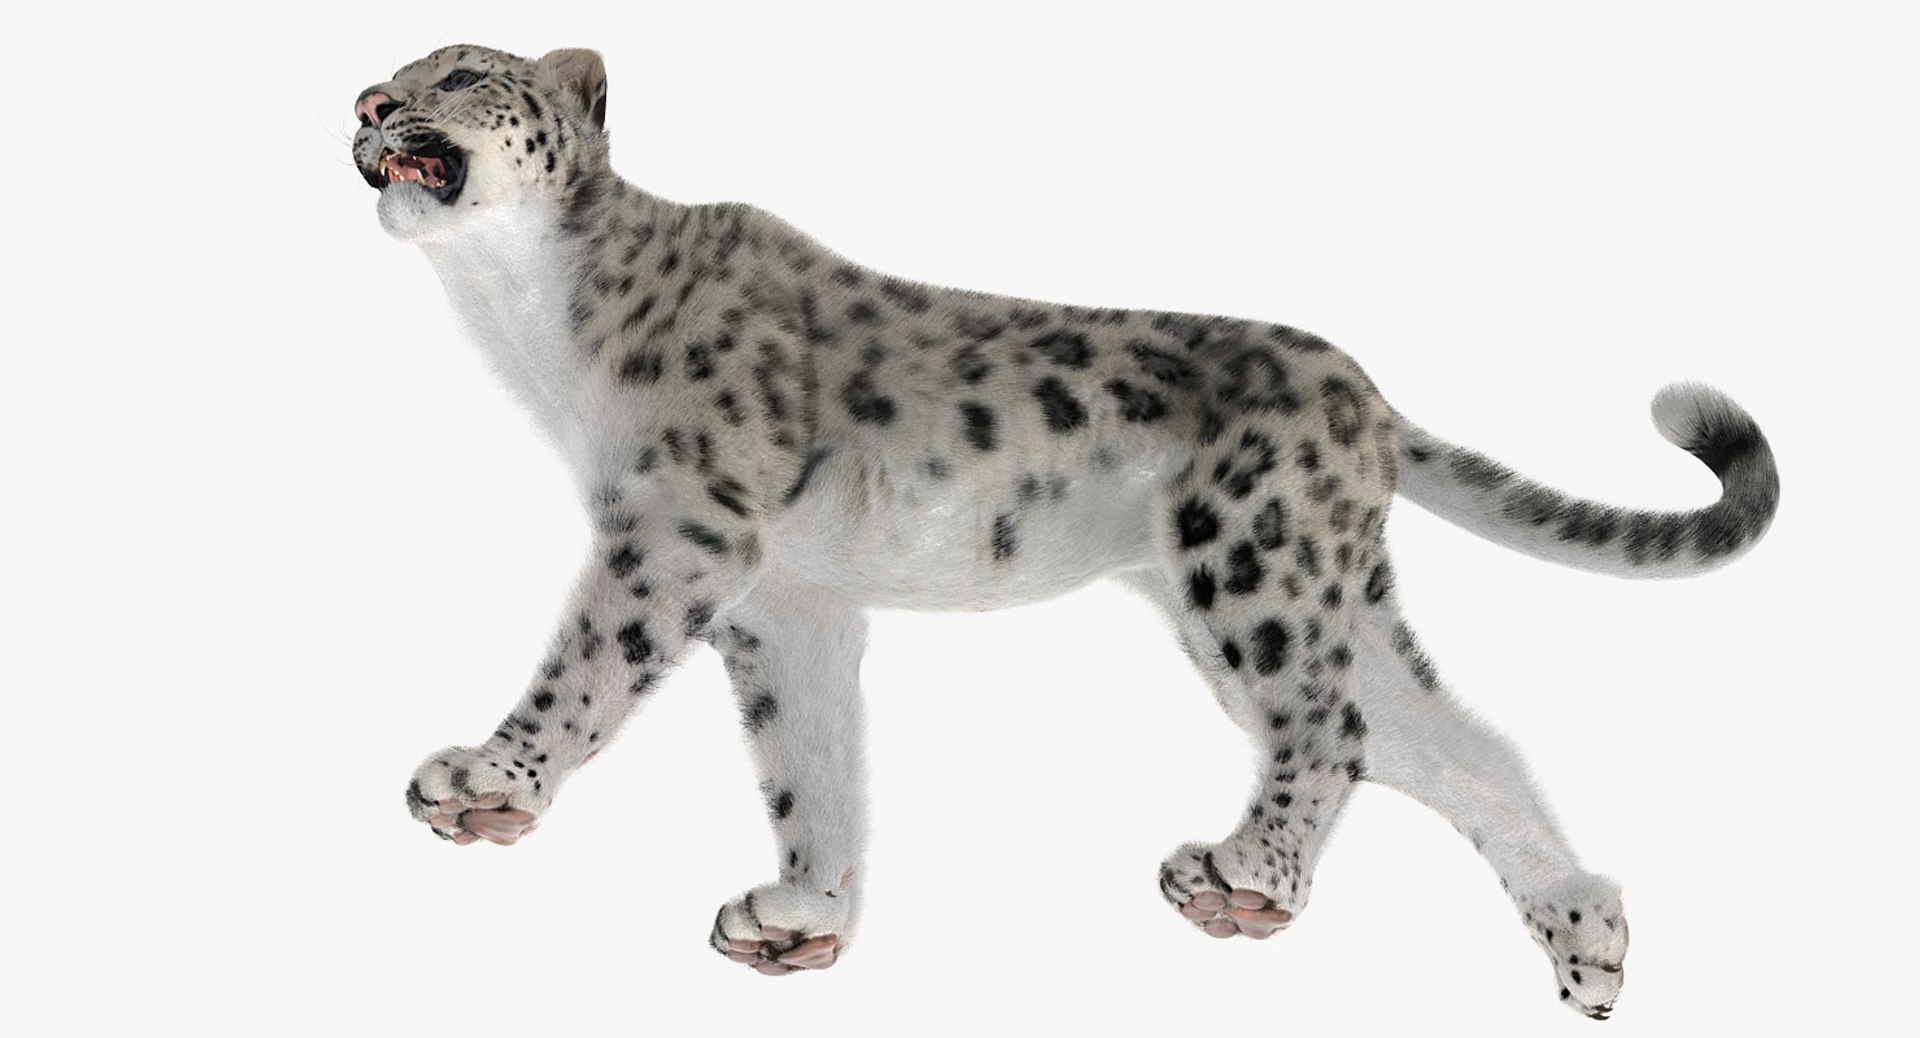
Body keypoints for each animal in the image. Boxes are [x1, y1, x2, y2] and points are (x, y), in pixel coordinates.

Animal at [352, 44, 1780, 1018]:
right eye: (392, 74)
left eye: (460, 73)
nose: (367, 106)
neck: (526, 324)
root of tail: (1366, 395)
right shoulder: (786, 603)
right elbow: (809, 757)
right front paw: (808, 910)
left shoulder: (679, 531)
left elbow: (590, 662)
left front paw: (488, 780)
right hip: (1326, 592)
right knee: (1458, 744)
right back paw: (1589, 940)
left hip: (1248, 561)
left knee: (1334, 730)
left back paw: (1244, 877)